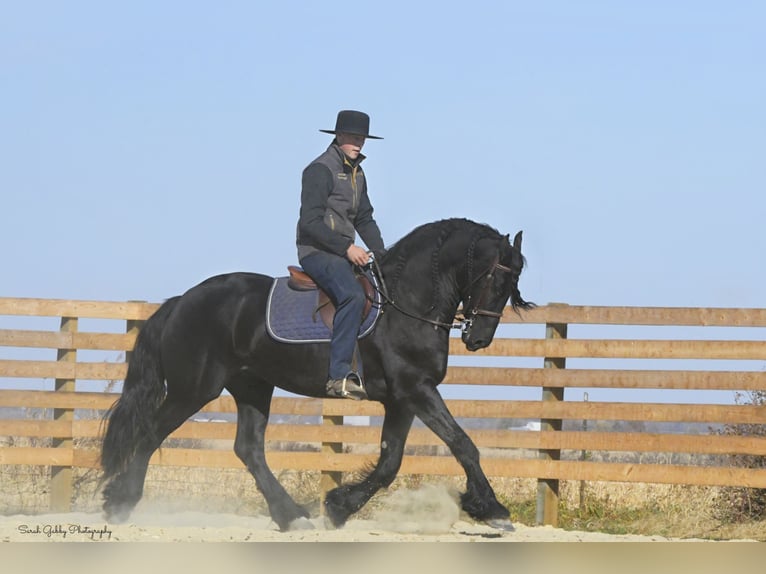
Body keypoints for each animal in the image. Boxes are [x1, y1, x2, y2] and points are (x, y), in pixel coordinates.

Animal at [100, 218, 536, 532]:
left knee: (249, 449)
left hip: (252, 387)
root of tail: (182, 301)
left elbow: (390, 462)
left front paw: (339, 506)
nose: (479, 339)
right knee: (151, 434)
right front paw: (493, 509)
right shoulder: (417, 390)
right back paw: (119, 502)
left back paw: (291, 516)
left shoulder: (401, 400)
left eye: (513, 284)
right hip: (194, 389)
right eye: (494, 278)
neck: (405, 304)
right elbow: (463, 444)